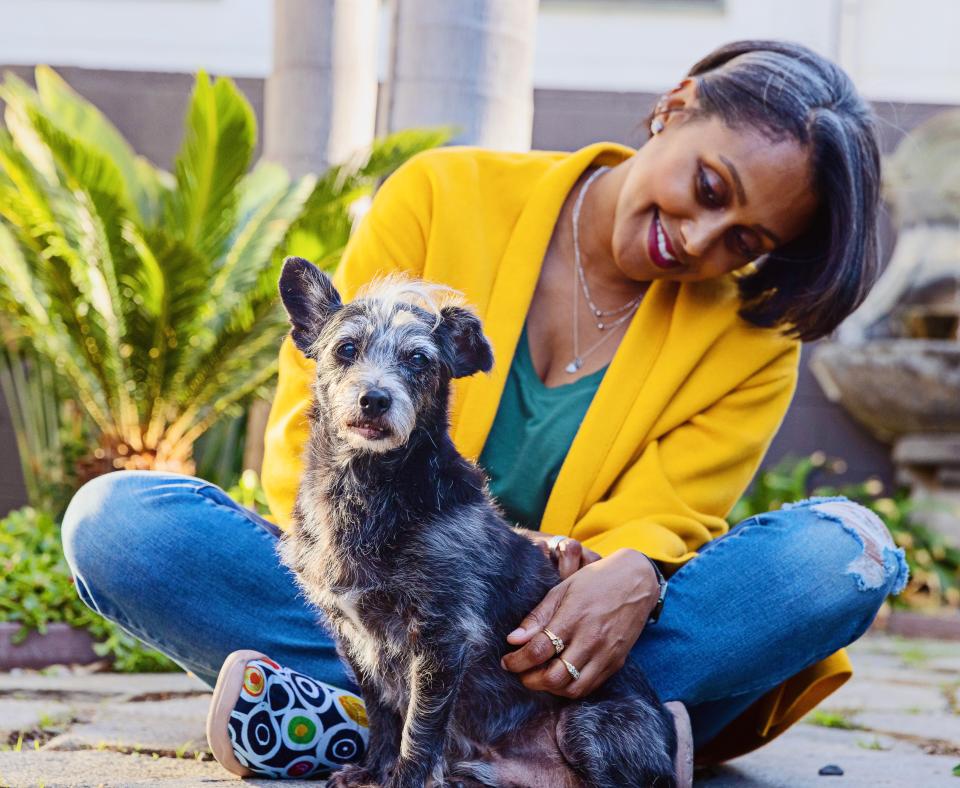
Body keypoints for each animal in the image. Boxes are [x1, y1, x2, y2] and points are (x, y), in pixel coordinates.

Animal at [278, 255, 676, 784]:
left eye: (419, 360)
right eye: (346, 348)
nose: (375, 399)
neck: (367, 489)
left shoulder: (442, 633)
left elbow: (420, 726)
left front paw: (403, 779)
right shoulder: (353, 635)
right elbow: (382, 711)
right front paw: (371, 770)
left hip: (588, 724)